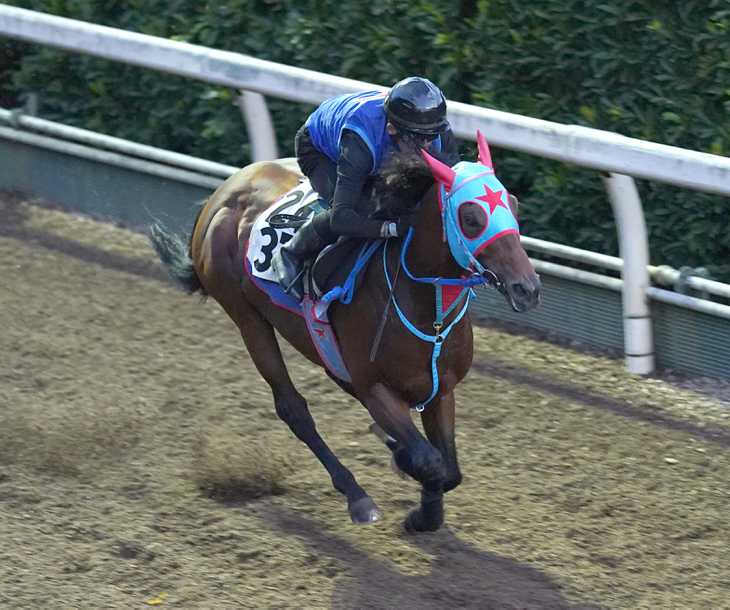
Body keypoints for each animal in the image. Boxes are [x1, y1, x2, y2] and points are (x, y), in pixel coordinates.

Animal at [151, 131, 540, 528]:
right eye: (472, 217)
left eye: (514, 205)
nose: (527, 288)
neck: (427, 310)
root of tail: (222, 194)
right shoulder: (376, 388)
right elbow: (431, 462)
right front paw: (416, 500)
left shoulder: (440, 389)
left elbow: (449, 469)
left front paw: (423, 507)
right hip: (248, 319)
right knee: (293, 408)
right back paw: (357, 496)